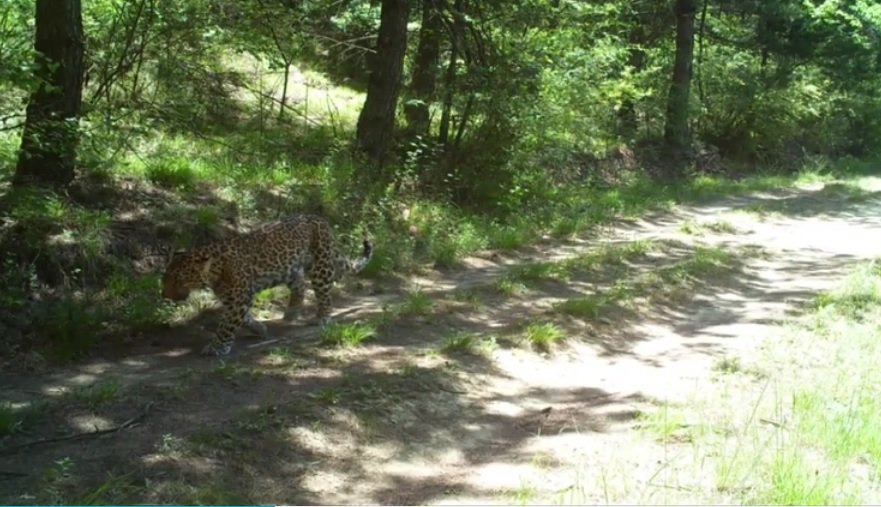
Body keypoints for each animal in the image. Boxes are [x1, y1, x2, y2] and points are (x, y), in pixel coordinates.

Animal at [162, 214, 372, 358]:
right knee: (300, 285)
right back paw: (291, 314)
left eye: (179, 280)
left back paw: (322, 318)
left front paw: (217, 347)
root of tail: (320, 219)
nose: (165, 295)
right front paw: (260, 329)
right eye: (165, 278)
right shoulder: (233, 298)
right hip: (289, 269)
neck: (216, 271)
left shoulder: (238, 298)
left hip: (321, 266)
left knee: (324, 293)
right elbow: (244, 318)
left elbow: (227, 325)